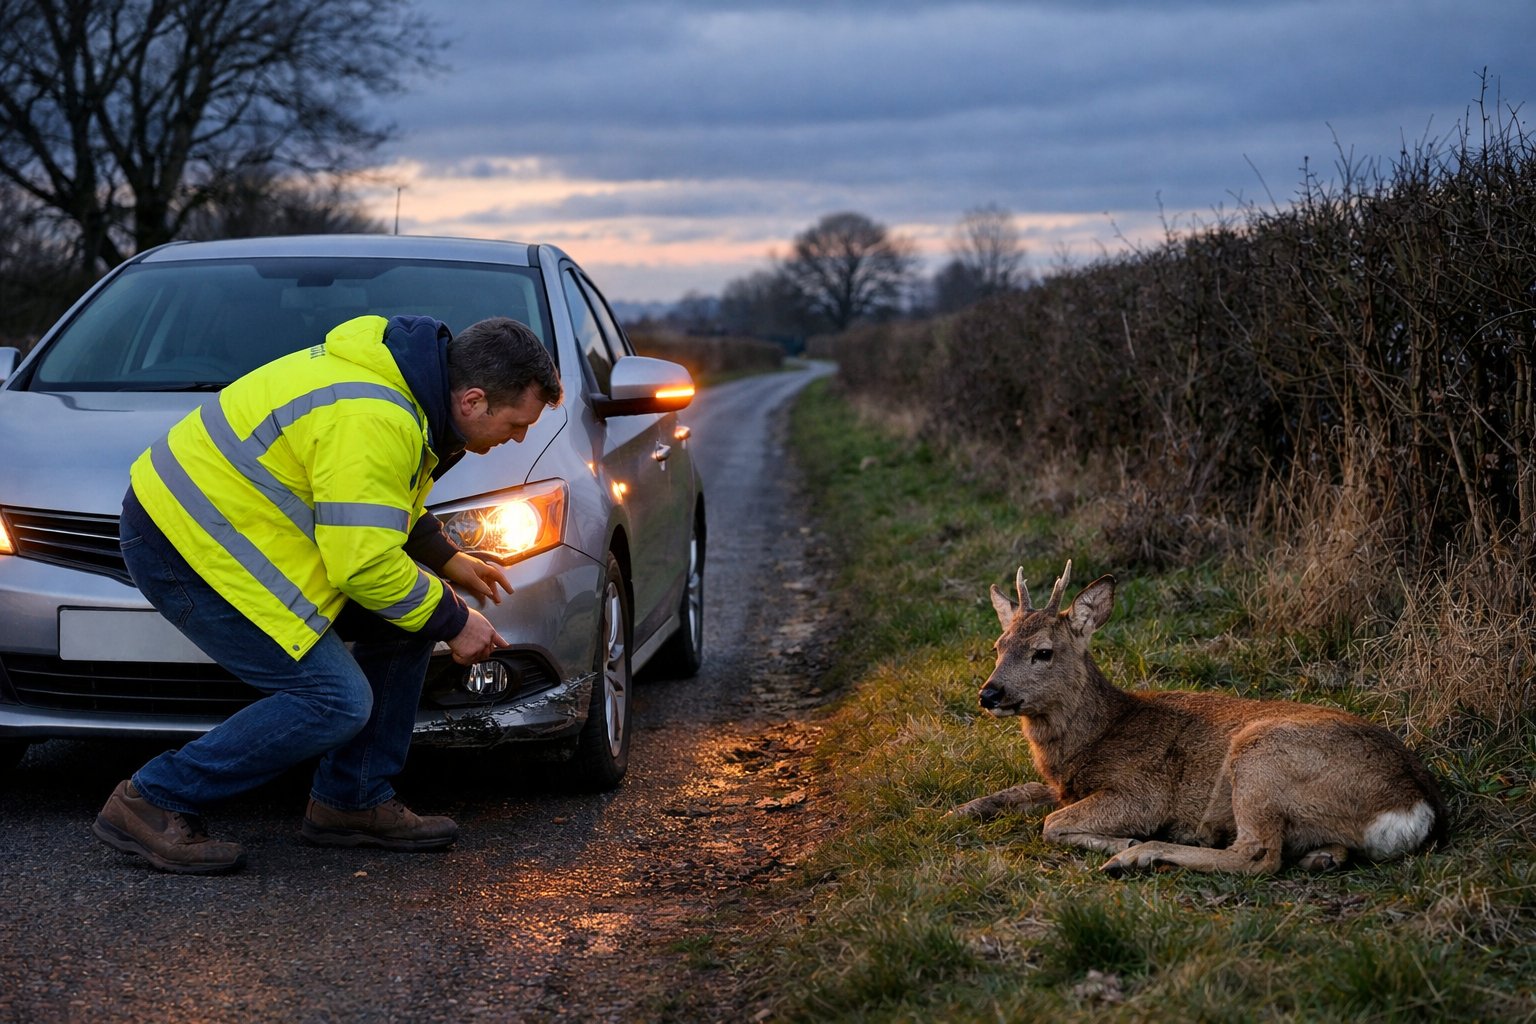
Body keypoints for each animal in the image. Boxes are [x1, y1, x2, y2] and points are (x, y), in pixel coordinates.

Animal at [949, 561, 1447, 875]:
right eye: (998, 646)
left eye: (1043, 652)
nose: (989, 693)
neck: (1093, 737)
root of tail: (1416, 805)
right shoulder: (1061, 785)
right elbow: (1011, 794)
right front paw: (954, 812)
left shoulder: (1142, 791)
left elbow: (1052, 823)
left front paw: (1123, 842)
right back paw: (1320, 858)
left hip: (1262, 757)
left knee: (1258, 855)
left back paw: (1140, 856)